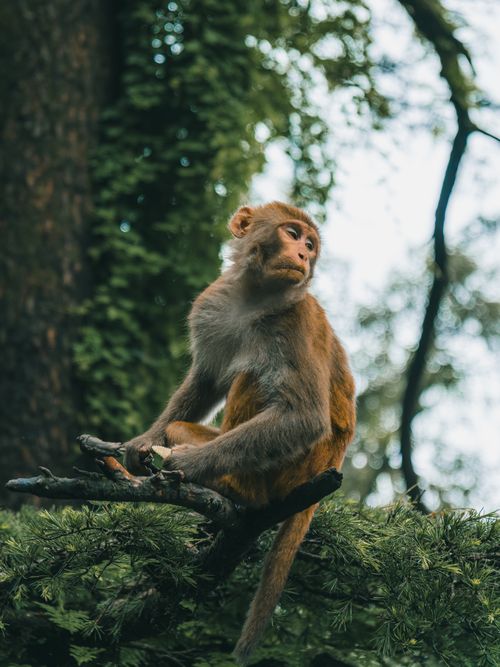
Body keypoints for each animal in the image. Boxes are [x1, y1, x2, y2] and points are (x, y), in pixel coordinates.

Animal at [124, 201, 356, 663]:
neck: (254, 299)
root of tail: (337, 457)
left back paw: (240, 492)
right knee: (186, 421)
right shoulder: (212, 304)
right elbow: (206, 380)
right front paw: (142, 443)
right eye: (293, 234)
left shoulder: (297, 320)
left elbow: (304, 417)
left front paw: (191, 465)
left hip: (295, 468)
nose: (303, 256)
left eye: (310, 245)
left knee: (253, 377)